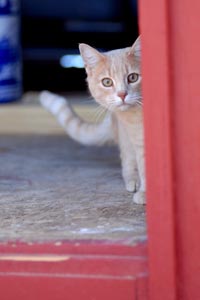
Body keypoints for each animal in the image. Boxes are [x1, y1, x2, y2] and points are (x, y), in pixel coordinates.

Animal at [39, 35, 145, 204]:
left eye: (133, 77)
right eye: (107, 82)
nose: (122, 94)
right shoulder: (137, 137)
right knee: (128, 157)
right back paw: (133, 180)